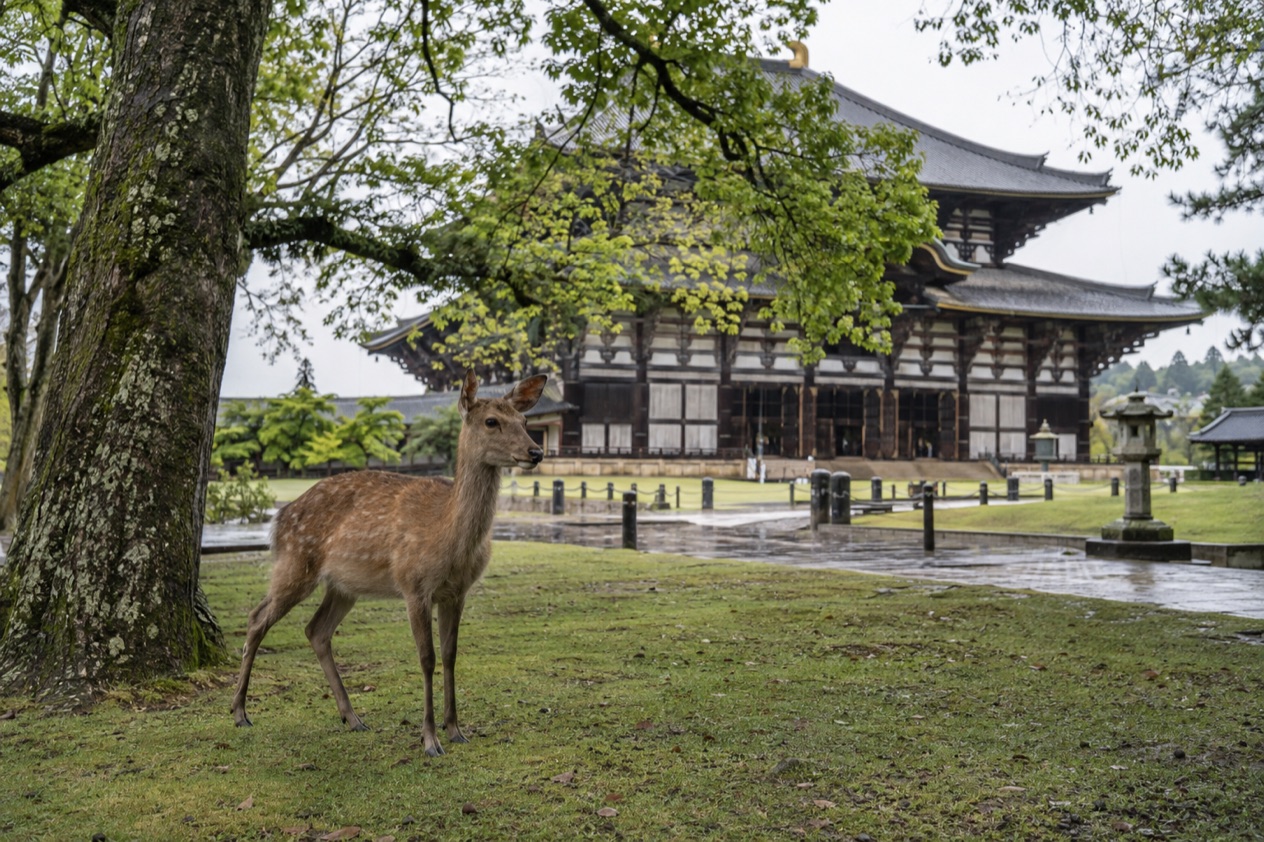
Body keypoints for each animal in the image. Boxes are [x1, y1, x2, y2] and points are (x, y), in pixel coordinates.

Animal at [230, 371, 547, 757]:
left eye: (524, 421)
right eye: (491, 421)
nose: (536, 452)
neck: (448, 536)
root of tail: (278, 519)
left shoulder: (457, 592)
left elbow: (451, 654)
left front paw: (456, 729)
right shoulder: (413, 584)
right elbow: (427, 657)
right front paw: (430, 739)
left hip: (343, 586)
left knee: (316, 629)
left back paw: (352, 718)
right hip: (295, 562)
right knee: (257, 617)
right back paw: (240, 712)